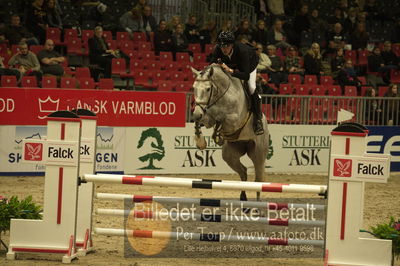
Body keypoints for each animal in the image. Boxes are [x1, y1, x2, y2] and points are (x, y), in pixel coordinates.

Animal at [191, 66, 268, 202]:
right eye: (194, 88)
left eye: (208, 89)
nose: (195, 114)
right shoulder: (207, 117)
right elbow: (203, 121)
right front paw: (201, 142)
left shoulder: (234, 120)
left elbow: (222, 119)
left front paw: (216, 134)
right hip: (230, 155)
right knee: (243, 171)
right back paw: (243, 197)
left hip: (258, 153)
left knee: (258, 180)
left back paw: (258, 205)